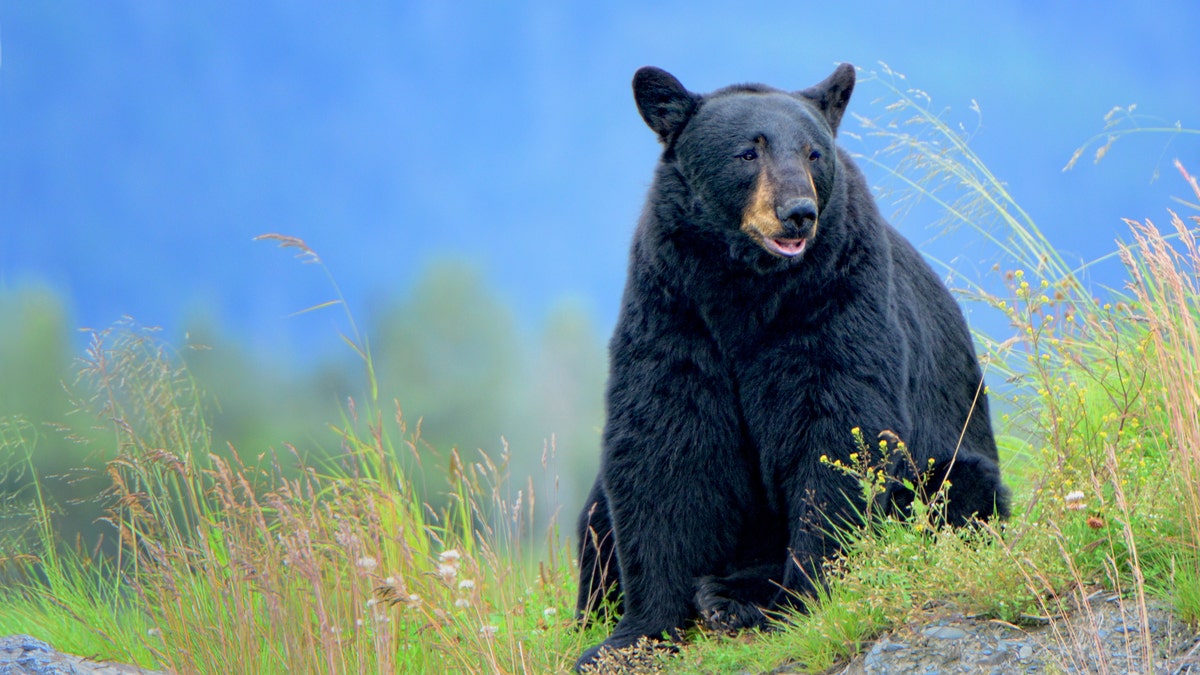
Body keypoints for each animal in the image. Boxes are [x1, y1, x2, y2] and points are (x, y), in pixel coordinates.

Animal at [576, 64, 1008, 667]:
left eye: (813, 153)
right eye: (746, 152)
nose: (798, 213)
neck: (746, 288)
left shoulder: (834, 298)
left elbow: (838, 434)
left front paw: (799, 598)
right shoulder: (673, 306)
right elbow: (665, 441)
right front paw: (631, 636)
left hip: (952, 465)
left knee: (955, 493)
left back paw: (733, 595)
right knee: (595, 516)